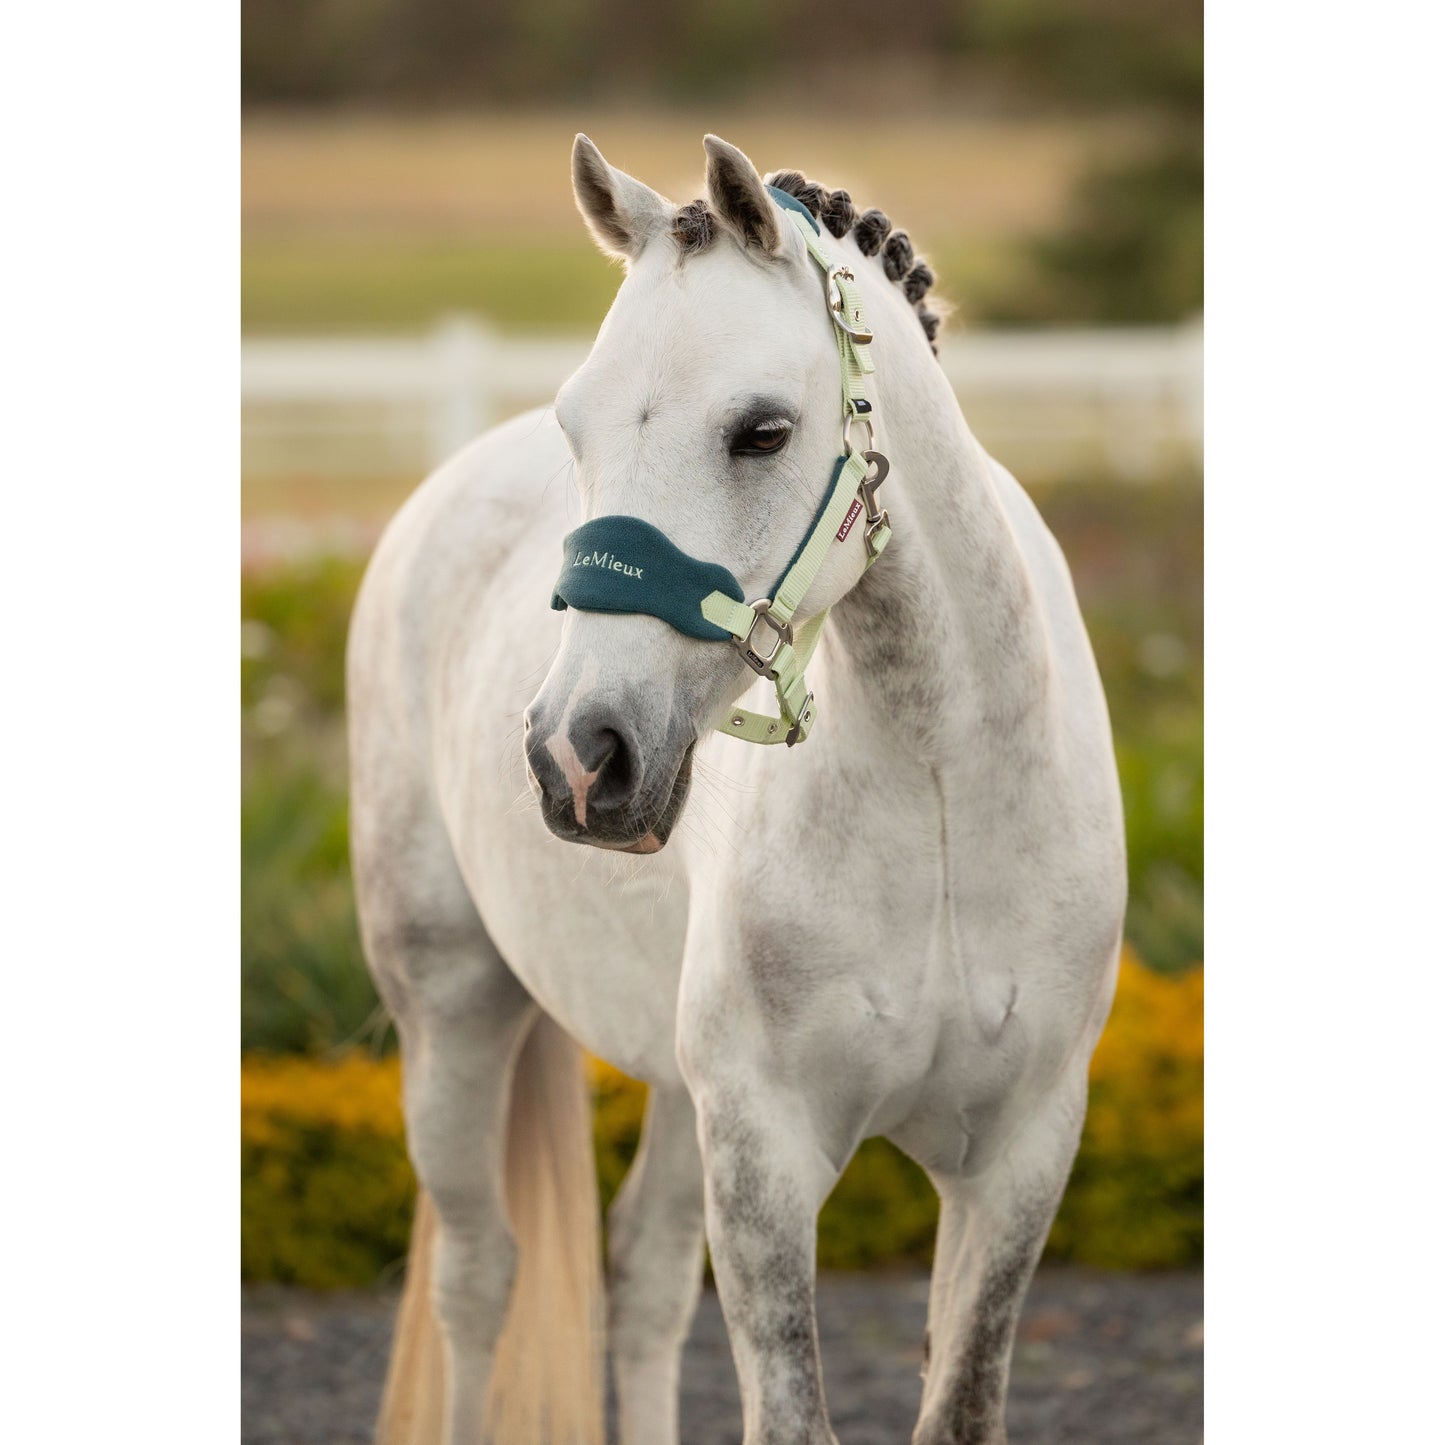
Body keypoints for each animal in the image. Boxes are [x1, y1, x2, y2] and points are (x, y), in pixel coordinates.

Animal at [347, 133, 1126, 1445]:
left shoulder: (1018, 1157)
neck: (940, 787)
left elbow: (957, 1400)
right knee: (479, 1276)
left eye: (759, 431)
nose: (578, 753)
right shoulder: (765, 1155)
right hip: (453, 1007)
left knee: (645, 1278)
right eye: (577, 425)